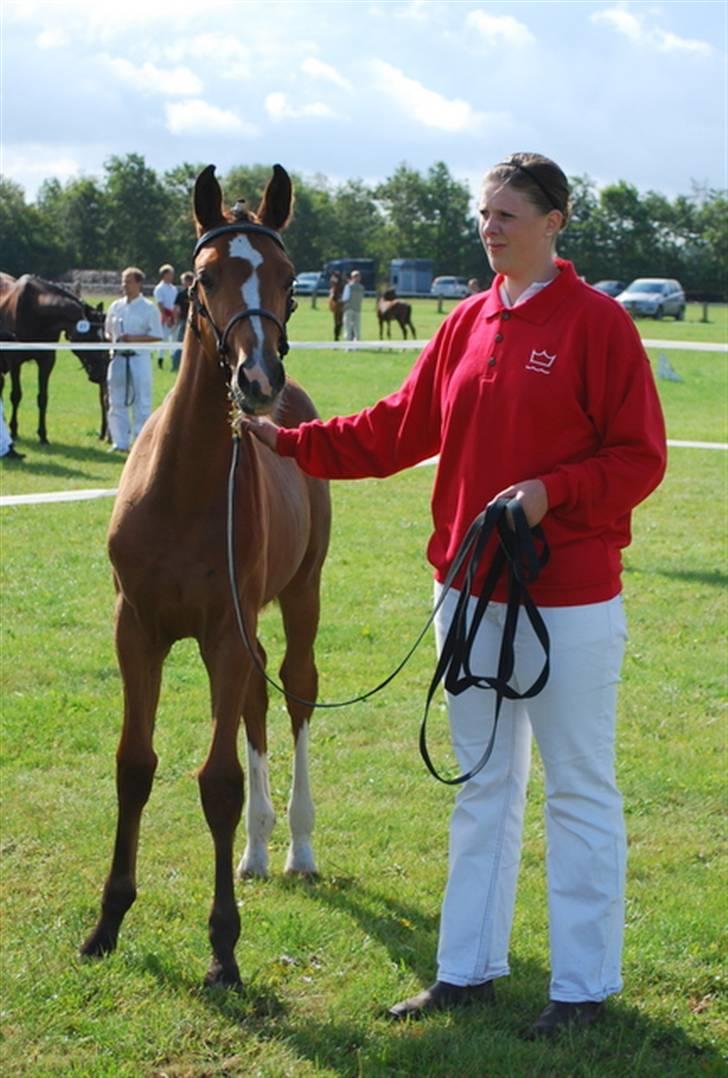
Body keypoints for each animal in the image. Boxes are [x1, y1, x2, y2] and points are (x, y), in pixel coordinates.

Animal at [0, 278, 106, 446]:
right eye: (91, 337)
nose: (101, 373)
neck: (35, 311)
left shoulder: (47, 361)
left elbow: (43, 398)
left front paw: (43, 435)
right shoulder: (14, 362)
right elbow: (16, 395)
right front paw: (14, 431)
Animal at [81, 163, 332, 987]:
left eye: (288, 276)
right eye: (206, 276)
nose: (258, 378)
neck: (185, 487)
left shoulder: (224, 631)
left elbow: (218, 782)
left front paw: (224, 947)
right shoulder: (137, 628)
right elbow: (134, 765)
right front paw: (107, 922)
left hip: (300, 594)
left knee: (297, 691)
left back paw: (296, 846)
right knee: (257, 699)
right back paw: (254, 851)